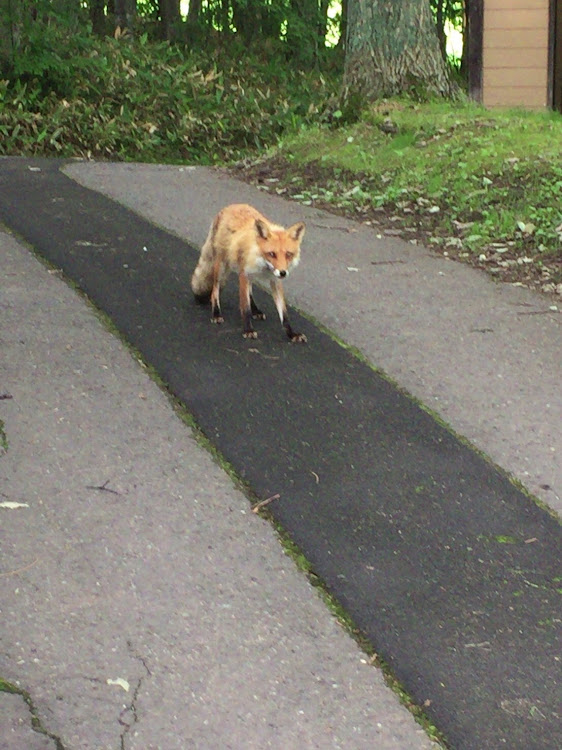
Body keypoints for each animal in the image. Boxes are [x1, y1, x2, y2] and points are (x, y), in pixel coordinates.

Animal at [192, 204, 306, 342]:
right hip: (221, 267)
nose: (283, 273)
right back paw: (216, 313)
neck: (263, 265)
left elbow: (284, 314)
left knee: (250, 291)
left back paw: (255, 310)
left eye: (288, 254)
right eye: (272, 254)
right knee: (215, 290)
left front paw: (292, 334)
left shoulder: (275, 281)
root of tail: (230, 206)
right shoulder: (244, 274)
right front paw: (248, 330)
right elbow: (245, 307)